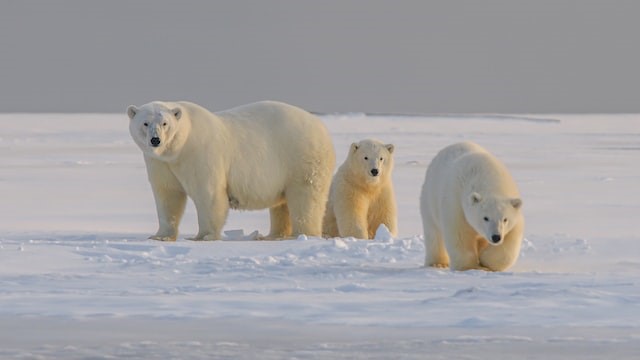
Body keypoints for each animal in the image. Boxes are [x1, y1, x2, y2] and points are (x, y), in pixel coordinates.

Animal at [125, 101, 336, 240]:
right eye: (145, 123)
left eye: (165, 123)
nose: (155, 140)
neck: (179, 148)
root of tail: (321, 127)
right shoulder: (160, 163)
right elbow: (168, 195)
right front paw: (160, 236)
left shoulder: (200, 153)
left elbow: (208, 194)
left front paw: (204, 236)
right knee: (282, 204)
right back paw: (273, 235)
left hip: (300, 157)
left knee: (305, 197)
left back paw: (303, 234)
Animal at [422, 142, 524, 272]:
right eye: (485, 218)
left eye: (505, 219)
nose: (496, 237)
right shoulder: (456, 204)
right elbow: (459, 234)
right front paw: (469, 266)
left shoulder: (514, 214)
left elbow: (510, 240)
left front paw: (485, 262)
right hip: (429, 199)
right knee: (433, 233)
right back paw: (437, 263)